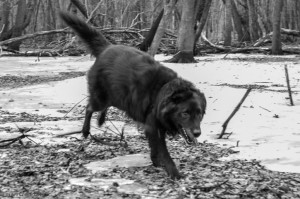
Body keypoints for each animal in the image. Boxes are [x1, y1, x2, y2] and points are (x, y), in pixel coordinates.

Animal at [60, 12, 207, 179]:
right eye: (185, 113)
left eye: (200, 113)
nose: (197, 133)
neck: (161, 92)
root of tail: (107, 47)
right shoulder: (153, 127)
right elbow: (164, 153)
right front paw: (174, 172)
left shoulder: (154, 128)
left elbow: (155, 149)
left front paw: (156, 162)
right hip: (101, 98)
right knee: (90, 107)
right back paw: (85, 130)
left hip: (117, 96)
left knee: (104, 107)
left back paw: (101, 120)